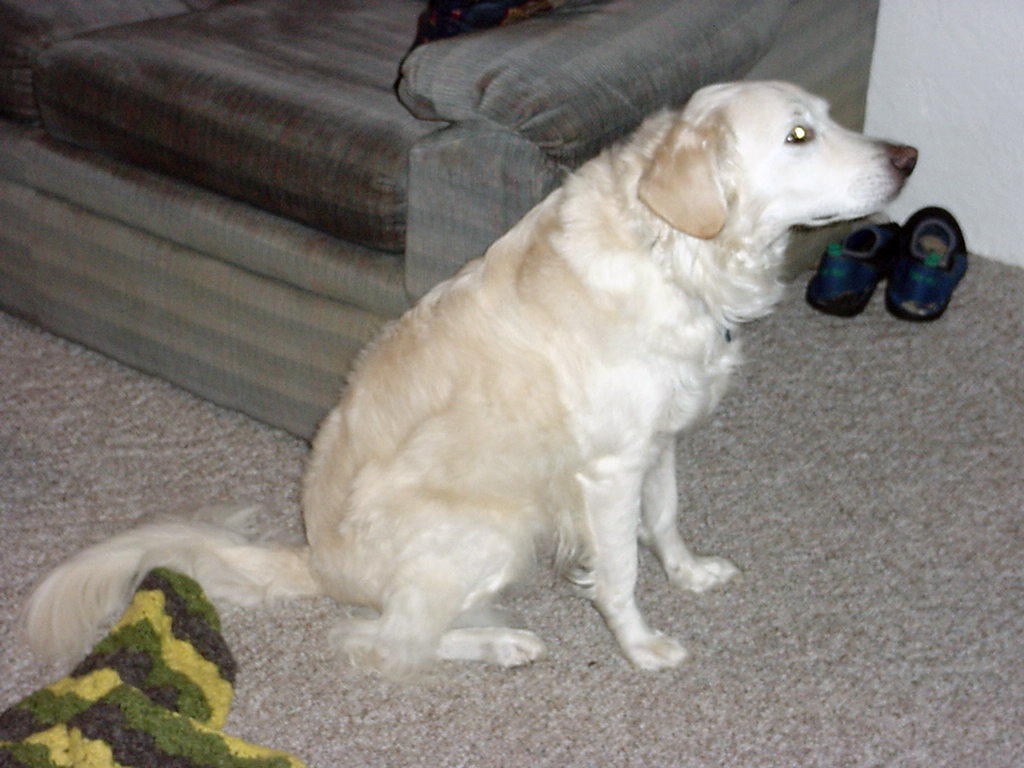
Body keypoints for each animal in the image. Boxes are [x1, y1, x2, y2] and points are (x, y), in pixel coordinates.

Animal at [23, 81, 917, 673]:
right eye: (798, 136)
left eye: (829, 117)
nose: (908, 157)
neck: (674, 256)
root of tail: (315, 558)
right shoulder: (610, 469)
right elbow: (620, 571)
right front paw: (640, 645)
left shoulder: (659, 441)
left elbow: (664, 521)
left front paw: (691, 574)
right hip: (495, 530)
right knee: (384, 641)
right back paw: (503, 640)